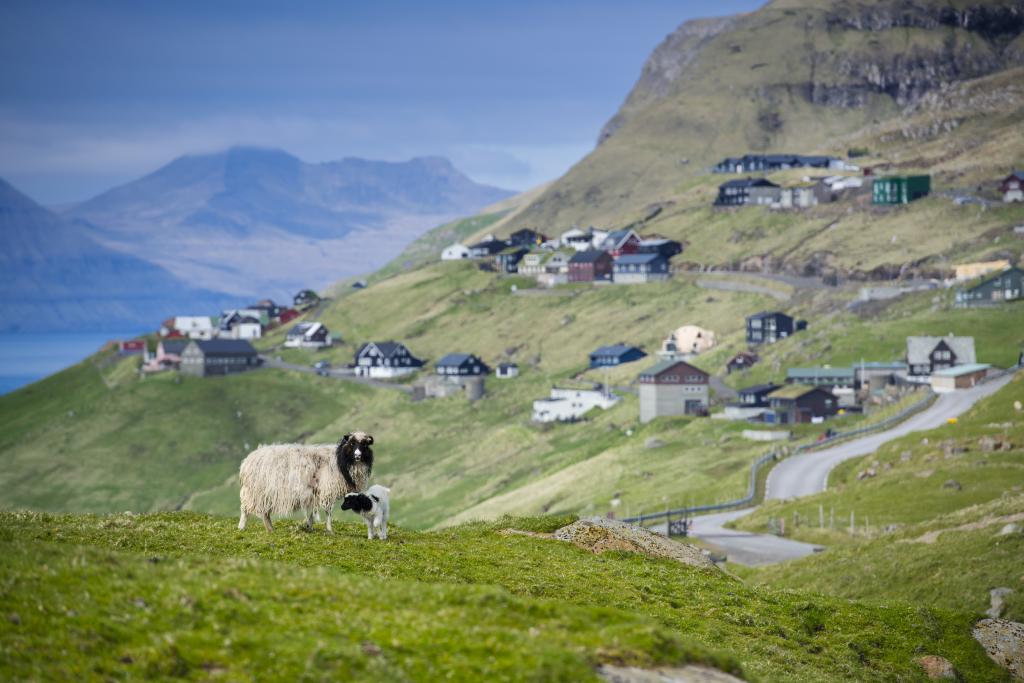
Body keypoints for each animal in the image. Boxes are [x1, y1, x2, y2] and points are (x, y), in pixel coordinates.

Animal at [237, 432, 374, 532]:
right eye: (352, 444)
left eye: (364, 445)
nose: (358, 456)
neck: (340, 460)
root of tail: (247, 460)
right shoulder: (327, 490)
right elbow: (328, 512)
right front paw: (330, 530)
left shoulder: (316, 492)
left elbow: (313, 512)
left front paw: (309, 526)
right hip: (255, 492)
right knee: (245, 509)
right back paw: (242, 527)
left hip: (264, 493)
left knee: (265, 513)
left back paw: (270, 529)